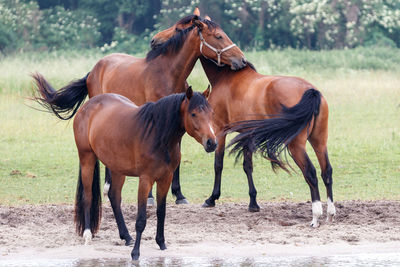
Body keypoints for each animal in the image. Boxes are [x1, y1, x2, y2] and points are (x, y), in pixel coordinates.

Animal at [41, 86, 216, 262]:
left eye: (211, 112)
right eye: (193, 114)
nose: (212, 143)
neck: (158, 135)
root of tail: (88, 106)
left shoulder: (165, 178)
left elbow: (161, 212)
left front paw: (161, 243)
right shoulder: (145, 180)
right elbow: (141, 219)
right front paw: (136, 253)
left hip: (117, 169)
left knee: (114, 197)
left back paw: (126, 237)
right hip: (87, 159)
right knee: (88, 196)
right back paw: (88, 234)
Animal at [152, 12, 336, 226]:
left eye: (177, 29)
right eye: (219, 35)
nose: (155, 40)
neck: (226, 78)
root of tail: (311, 91)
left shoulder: (219, 131)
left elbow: (218, 164)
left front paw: (212, 198)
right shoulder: (247, 135)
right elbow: (248, 166)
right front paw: (253, 203)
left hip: (296, 145)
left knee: (311, 173)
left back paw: (316, 217)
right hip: (319, 140)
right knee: (326, 172)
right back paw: (331, 214)